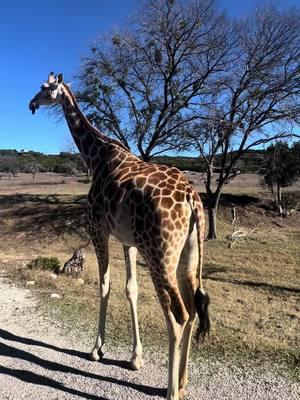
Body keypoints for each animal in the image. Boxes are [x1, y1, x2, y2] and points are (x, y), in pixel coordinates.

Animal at [29, 72, 210, 400]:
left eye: (46, 89)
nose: (31, 104)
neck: (97, 158)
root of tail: (192, 200)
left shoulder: (97, 229)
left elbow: (104, 285)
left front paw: (96, 350)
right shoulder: (128, 241)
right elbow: (130, 289)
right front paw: (135, 357)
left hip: (160, 255)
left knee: (178, 316)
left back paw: (171, 391)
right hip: (188, 255)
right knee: (191, 309)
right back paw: (182, 381)